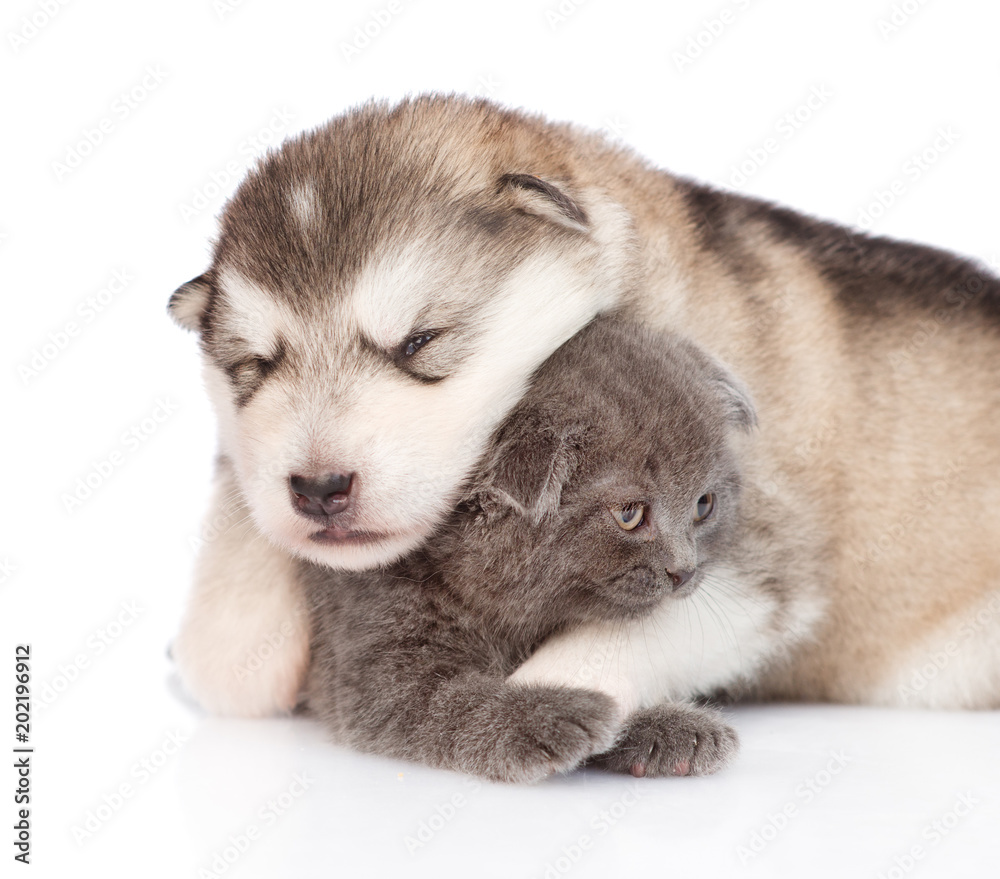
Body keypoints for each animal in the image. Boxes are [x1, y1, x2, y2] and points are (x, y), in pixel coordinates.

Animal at [172, 98, 1000, 728]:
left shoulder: (764, 543)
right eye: (252, 367)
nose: (318, 488)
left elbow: (627, 636)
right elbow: (226, 635)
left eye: (419, 341)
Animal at [300, 316, 752, 784]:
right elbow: (448, 704)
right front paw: (554, 717)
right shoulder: (372, 663)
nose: (685, 571)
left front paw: (669, 729)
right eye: (629, 514)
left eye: (704, 505)